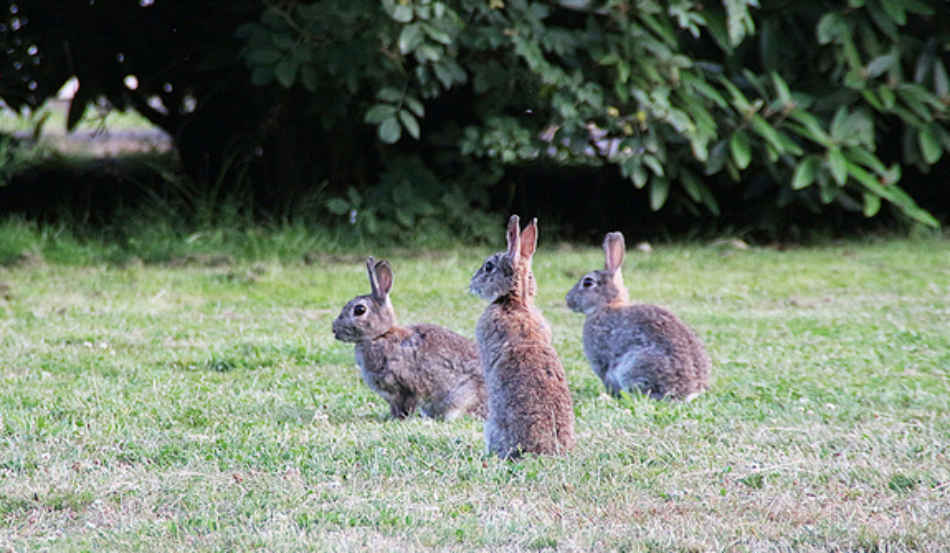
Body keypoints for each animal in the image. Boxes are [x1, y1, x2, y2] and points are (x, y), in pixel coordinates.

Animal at [332, 256, 488, 420]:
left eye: (359, 310)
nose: (334, 329)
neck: (381, 335)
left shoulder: (406, 387)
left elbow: (406, 405)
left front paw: (399, 419)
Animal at [564, 231, 712, 398]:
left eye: (588, 282)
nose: (568, 300)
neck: (607, 306)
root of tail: (690, 392)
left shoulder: (602, 359)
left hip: (635, 365)